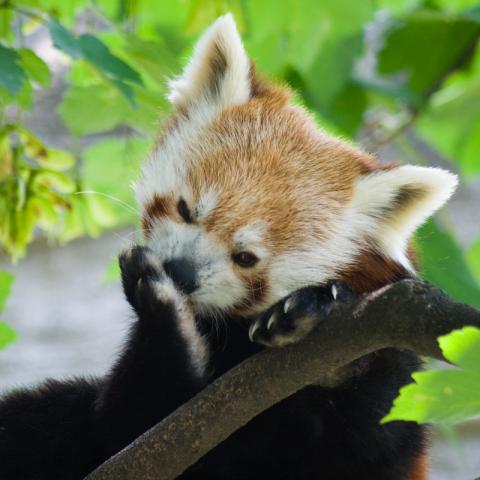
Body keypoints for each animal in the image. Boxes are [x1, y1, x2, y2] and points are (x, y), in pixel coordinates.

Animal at [0, 13, 456, 478]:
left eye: (246, 257)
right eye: (185, 208)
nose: (180, 272)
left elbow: (374, 430)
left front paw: (320, 325)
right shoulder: (136, 432)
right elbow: (127, 422)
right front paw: (164, 316)